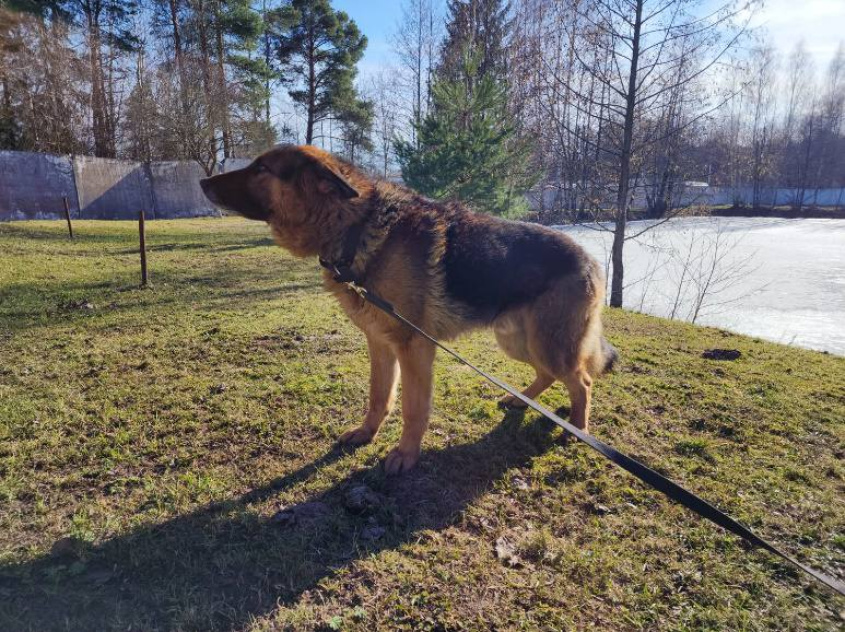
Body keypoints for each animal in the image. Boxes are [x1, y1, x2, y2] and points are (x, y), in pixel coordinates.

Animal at [201, 144, 616, 474]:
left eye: (261, 168)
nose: (204, 183)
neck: (356, 228)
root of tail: (592, 259)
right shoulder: (380, 344)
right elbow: (379, 396)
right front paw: (367, 433)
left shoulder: (414, 348)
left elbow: (413, 409)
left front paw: (406, 455)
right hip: (519, 341)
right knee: (549, 375)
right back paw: (520, 399)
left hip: (548, 344)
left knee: (582, 381)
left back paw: (578, 428)